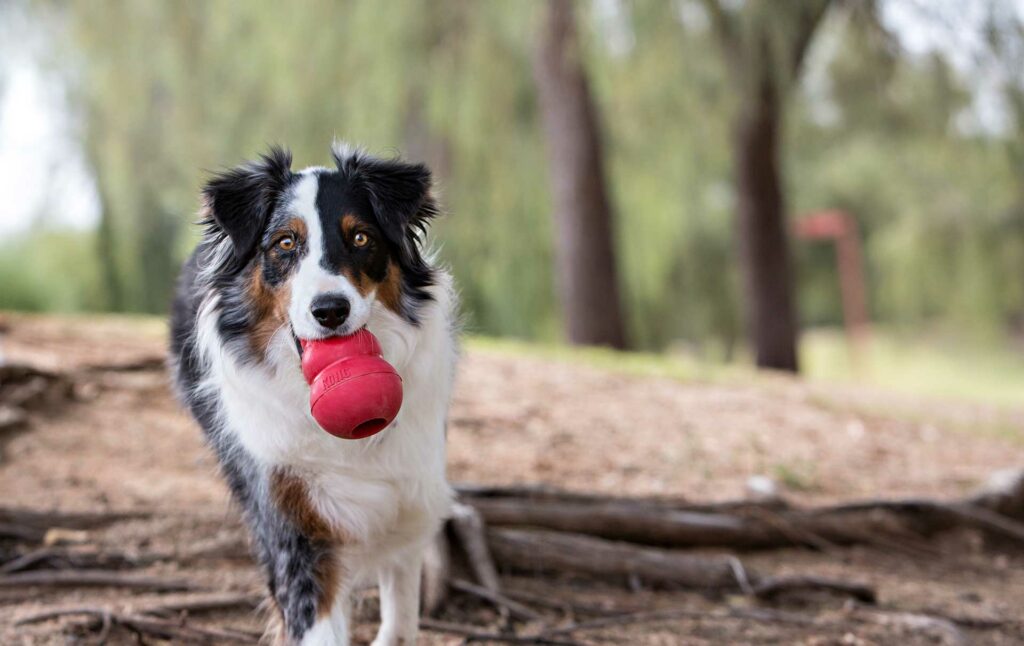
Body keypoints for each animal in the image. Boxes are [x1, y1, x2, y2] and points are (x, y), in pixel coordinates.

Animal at [168, 144, 456, 642]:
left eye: (360, 238)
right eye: (285, 243)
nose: (330, 310)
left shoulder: (410, 497)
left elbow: (401, 614)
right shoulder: (293, 524)